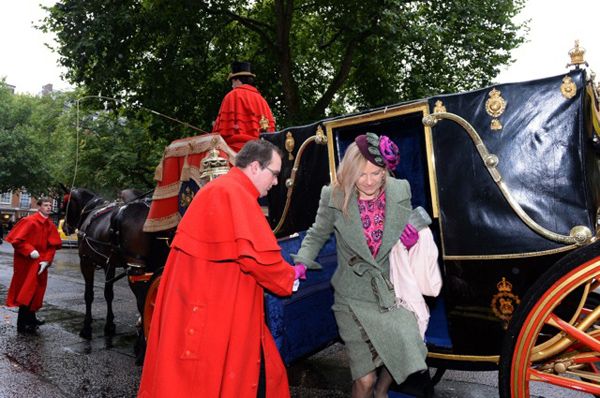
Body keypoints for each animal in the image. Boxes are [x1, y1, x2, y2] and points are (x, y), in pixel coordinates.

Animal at [60, 187, 154, 338]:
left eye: (64, 205)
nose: (64, 228)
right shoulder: (109, 264)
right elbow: (109, 294)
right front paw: (110, 324)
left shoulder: (86, 261)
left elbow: (89, 294)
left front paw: (87, 327)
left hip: (136, 266)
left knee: (142, 298)